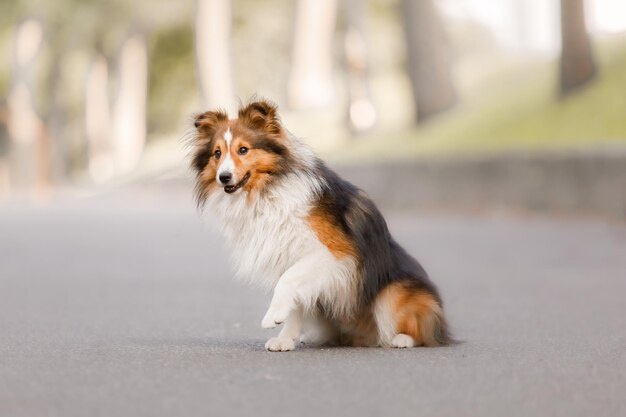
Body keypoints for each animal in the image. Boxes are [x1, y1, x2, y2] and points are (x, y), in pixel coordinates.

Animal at [189, 99, 448, 350]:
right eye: (217, 153)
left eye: (243, 150)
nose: (223, 177)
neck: (267, 191)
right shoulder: (288, 256)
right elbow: (295, 299)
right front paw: (285, 339)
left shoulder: (334, 254)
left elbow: (287, 281)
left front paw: (272, 316)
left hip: (393, 291)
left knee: (422, 329)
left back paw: (402, 339)